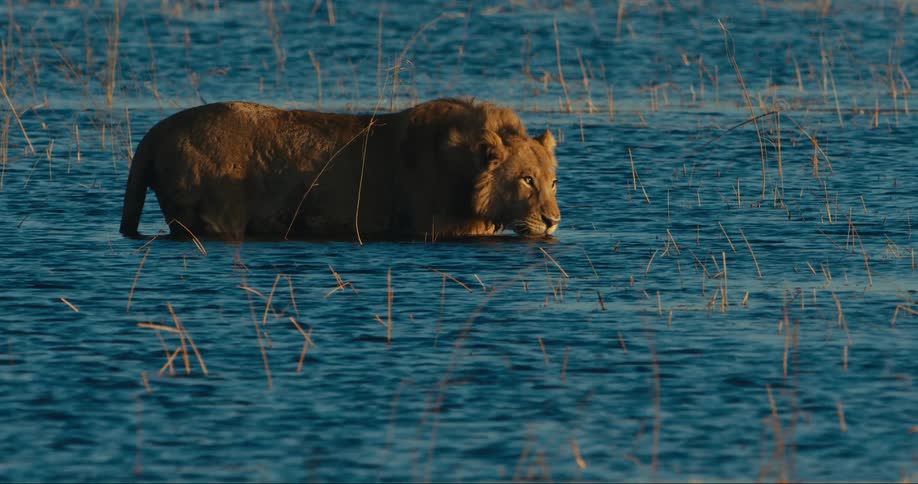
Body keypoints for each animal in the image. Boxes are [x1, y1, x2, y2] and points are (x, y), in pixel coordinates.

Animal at [120, 98, 561, 241]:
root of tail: (155, 133)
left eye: (554, 182)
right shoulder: (439, 228)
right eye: (526, 180)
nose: (553, 221)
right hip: (213, 219)